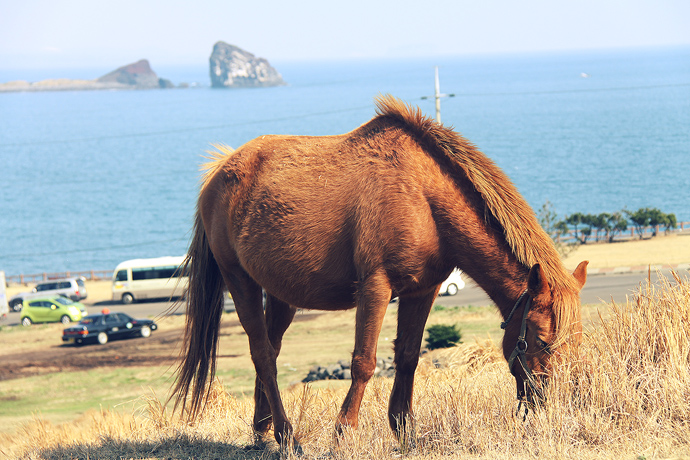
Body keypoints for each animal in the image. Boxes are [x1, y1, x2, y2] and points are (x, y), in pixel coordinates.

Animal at [173, 95, 584, 448]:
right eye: (541, 340)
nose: (553, 402)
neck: (422, 196)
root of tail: (219, 172)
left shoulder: (423, 290)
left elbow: (408, 357)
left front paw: (404, 432)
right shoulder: (376, 287)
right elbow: (364, 362)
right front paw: (343, 434)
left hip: (279, 292)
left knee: (270, 351)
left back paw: (264, 431)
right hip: (239, 281)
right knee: (262, 354)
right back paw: (287, 437)